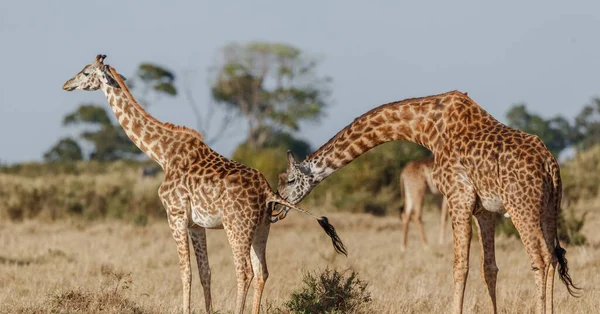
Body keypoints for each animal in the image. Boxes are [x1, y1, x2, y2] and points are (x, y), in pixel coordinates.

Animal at [61, 54, 346, 314]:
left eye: (86, 73)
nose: (66, 84)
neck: (162, 154)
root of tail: (267, 192)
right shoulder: (196, 224)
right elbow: (205, 272)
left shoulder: (175, 215)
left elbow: (185, 272)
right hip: (262, 228)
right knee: (261, 271)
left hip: (236, 227)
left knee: (244, 271)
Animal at [278, 91, 580, 314]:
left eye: (288, 180)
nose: (277, 207)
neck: (426, 128)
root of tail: (549, 163)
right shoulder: (484, 210)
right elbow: (489, 268)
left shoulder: (458, 196)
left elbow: (460, 266)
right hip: (549, 209)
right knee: (553, 257)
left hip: (521, 208)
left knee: (539, 259)